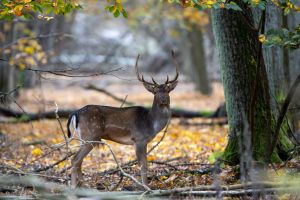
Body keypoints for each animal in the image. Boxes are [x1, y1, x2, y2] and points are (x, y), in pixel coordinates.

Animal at [67, 51, 179, 188]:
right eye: (155, 92)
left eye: (168, 90)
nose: (163, 99)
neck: (150, 123)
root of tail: (75, 113)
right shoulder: (139, 139)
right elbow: (143, 166)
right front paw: (145, 187)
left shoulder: (144, 141)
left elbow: (145, 164)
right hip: (90, 136)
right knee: (75, 159)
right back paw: (74, 187)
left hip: (85, 138)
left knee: (79, 161)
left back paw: (85, 186)